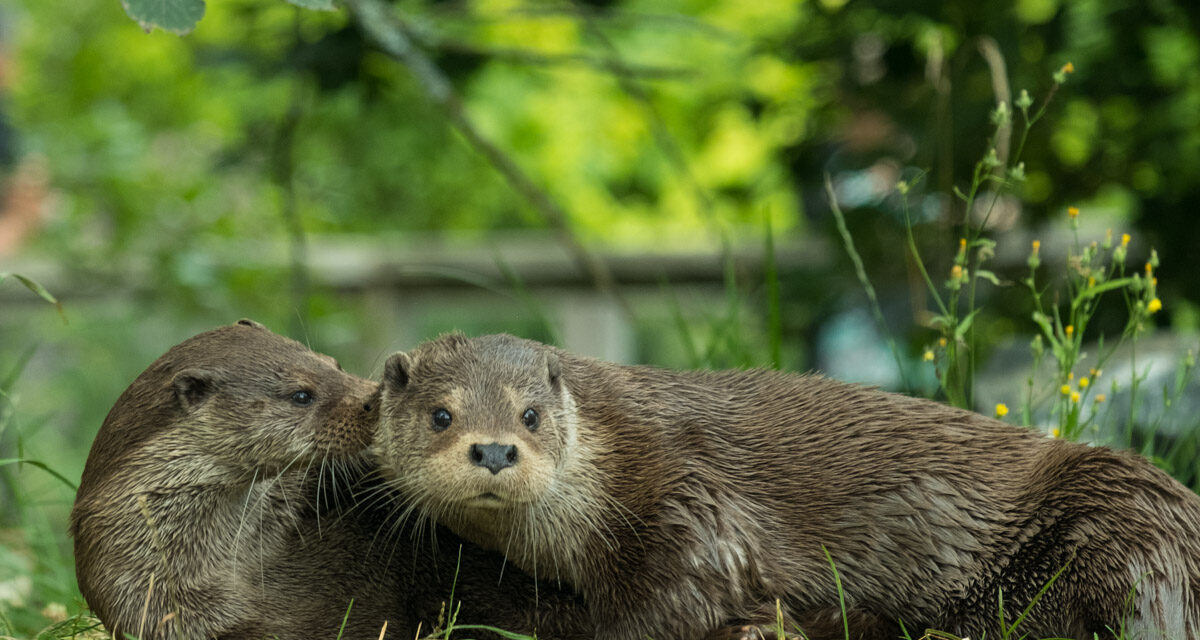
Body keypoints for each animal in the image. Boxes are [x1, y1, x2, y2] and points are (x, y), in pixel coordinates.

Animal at [374, 331, 1200, 638]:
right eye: (442, 414)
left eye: (532, 414)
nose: (493, 451)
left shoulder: (684, 495)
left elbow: (683, 597)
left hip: (1120, 517)